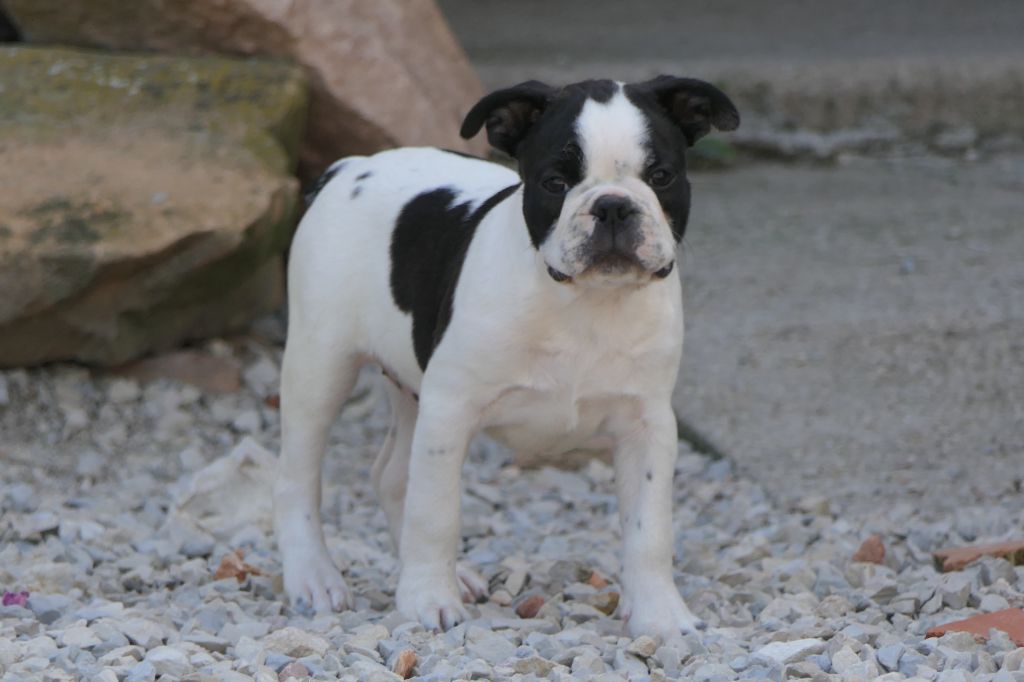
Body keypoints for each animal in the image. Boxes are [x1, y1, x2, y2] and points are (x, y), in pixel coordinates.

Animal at [273, 76, 739, 640]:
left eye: (661, 177)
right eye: (555, 183)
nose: (612, 205)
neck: (584, 303)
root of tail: (346, 168)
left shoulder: (647, 424)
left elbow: (650, 529)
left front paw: (660, 613)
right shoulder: (450, 412)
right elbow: (436, 513)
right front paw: (428, 599)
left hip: (412, 387)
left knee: (391, 476)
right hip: (320, 364)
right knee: (298, 477)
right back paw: (315, 576)